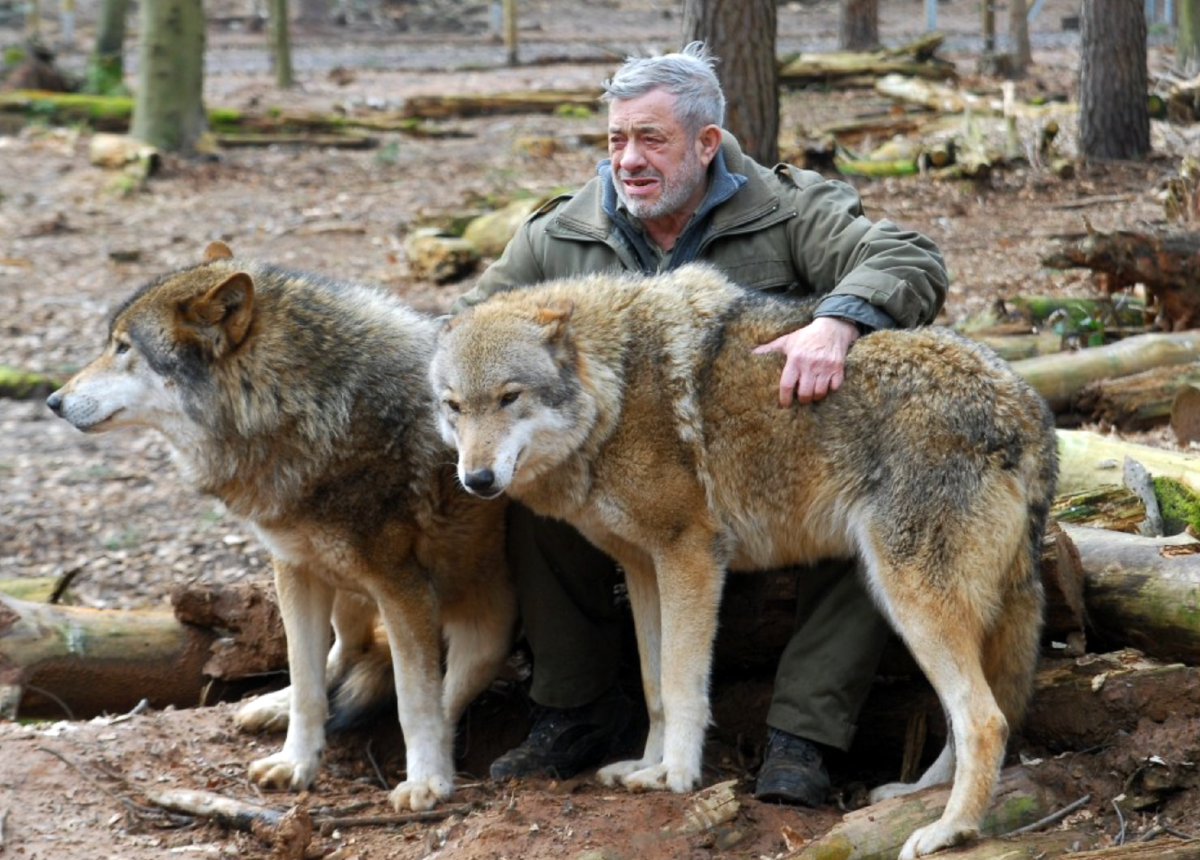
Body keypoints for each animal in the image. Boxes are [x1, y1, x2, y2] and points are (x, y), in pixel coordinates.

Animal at [45, 243, 516, 810]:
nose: (52, 401)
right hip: (344, 588)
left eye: (122, 348)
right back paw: (273, 704)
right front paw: (295, 763)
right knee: (348, 648)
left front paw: (427, 780)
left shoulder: (403, 589)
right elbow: (306, 680)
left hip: (486, 629)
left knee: (443, 688)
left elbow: (416, 700)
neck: (301, 407)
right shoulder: (293, 568)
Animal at [432, 265, 1060, 854]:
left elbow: (682, 682)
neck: (617, 389)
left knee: (984, 720)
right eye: (454, 407)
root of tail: (1028, 406)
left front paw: (675, 774)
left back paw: (949, 829)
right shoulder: (643, 568)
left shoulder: (690, 554)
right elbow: (654, 687)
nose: (476, 479)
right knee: (974, 714)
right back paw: (917, 796)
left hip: (910, 597)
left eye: (510, 396)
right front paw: (645, 766)